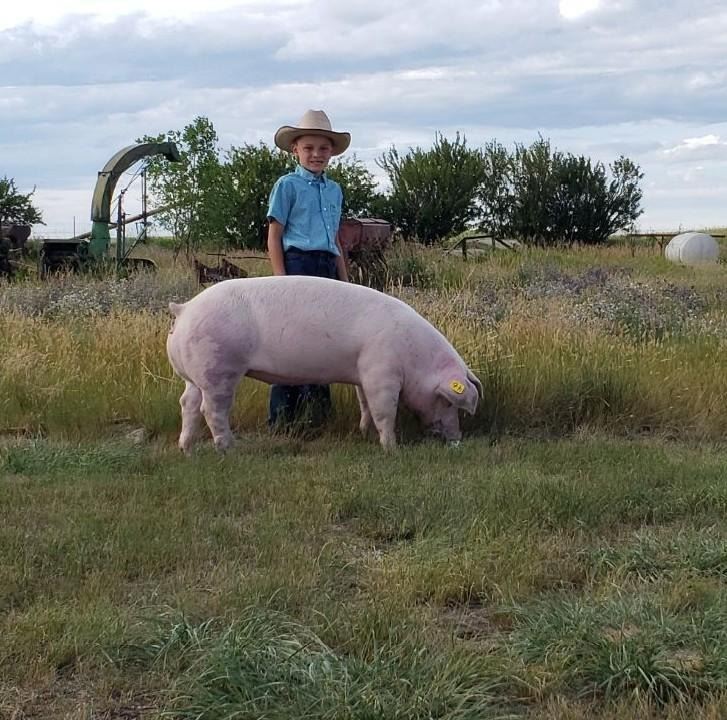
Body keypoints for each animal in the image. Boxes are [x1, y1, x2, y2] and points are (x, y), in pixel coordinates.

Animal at [166, 276, 483, 451]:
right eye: (448, 402)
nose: (457, 438)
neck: (415, 356)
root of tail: (184, 309)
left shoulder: (363, 374)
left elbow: (365, 404)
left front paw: (364, 433)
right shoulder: (381, 372)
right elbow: (384, 410)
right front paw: (391, 448)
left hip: (194, 375)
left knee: (187, 403)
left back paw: (186, 449)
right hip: (219, 368)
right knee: (212, 409)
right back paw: (229, 449)